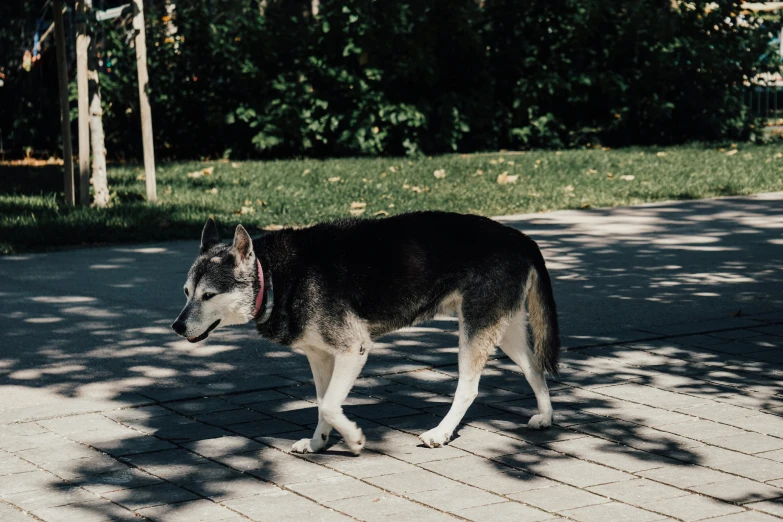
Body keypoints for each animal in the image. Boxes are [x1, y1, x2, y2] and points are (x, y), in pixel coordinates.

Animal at [174, 209, 560, 452]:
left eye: (209, 295)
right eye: (186, 292)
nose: (177, 327)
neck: (273, 277)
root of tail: (521, 238)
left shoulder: (353, 349)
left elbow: (332, 405)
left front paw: (355, 439)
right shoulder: (320, 357)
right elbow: (322, 403)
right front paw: (318, 443)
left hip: (476, 327)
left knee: (469, 387)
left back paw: (441, 432)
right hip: (503, 327)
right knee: (534, 367)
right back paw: (545, 415)